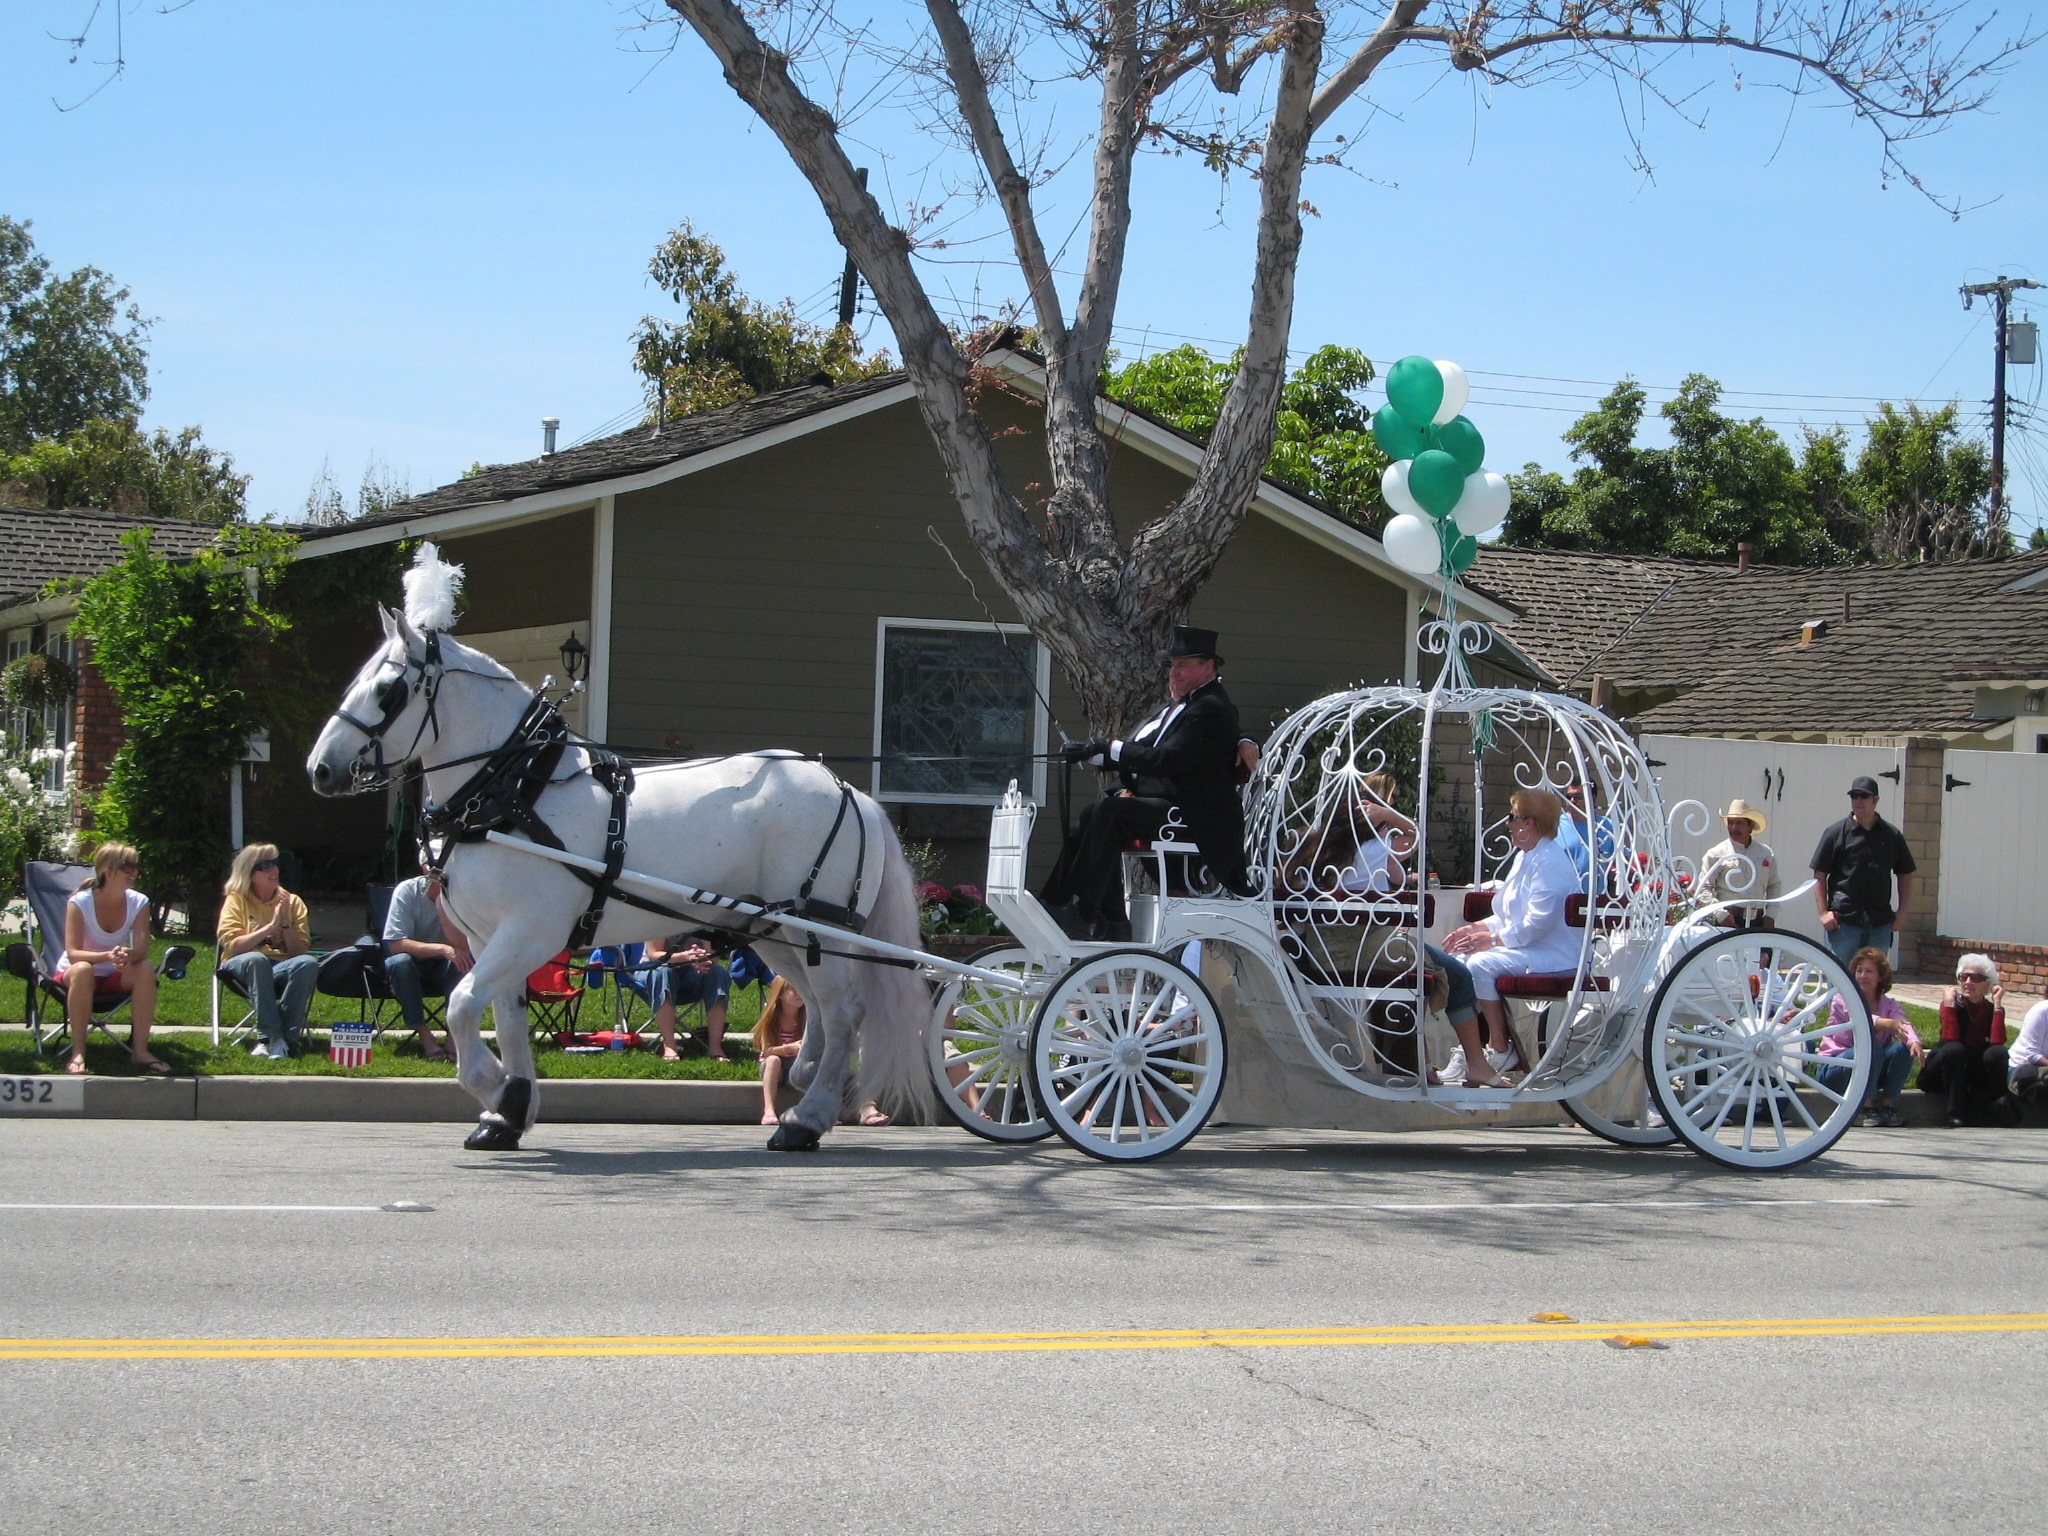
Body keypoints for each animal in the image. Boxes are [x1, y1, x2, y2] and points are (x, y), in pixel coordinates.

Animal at [309, 589, 929, 1155]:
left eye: (388, 691)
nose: (320, 770)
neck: (513, 792)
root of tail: (849, 791)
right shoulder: (491, 940)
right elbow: (506, 1020)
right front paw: (508, 1112)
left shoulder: (530, 933)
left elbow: (462, 1006)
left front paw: (499, 1092)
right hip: (775, 931)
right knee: (819, 1007)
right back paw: (807, 1086)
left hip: (818, 929)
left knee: (844, 1011)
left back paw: (806, 1121)